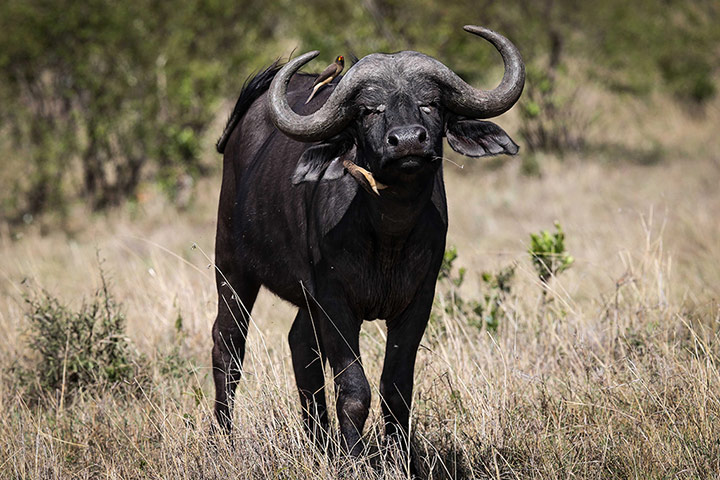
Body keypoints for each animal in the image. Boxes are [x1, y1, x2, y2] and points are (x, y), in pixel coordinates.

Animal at [212, 25, 525, 457]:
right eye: (369, 110)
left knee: (300, 346)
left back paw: (319, 441)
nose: (408, 141)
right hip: (231, 266)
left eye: (429, 103)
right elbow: (354, 390)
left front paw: (399, 458)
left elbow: (397, 388)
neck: (388, 235)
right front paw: (351, 458)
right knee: (228, 347)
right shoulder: (335, 302)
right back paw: (223, 439)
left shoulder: (417, 301)